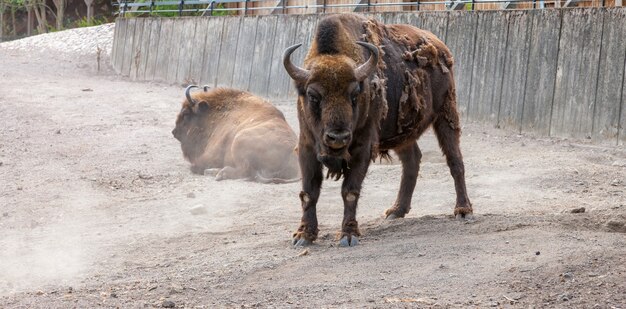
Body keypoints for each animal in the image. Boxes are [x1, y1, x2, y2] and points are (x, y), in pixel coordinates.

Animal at [282, 13, 468, 247]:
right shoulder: (307, 146)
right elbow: (309, 192)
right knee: (412, 160)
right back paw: (396, 211)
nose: (338, 137)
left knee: (455, 161)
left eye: (355, 94)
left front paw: (348, 235)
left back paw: (463, 210)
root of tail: (441, 47)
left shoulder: (362, 148)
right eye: (313, 95)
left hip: (446, 114)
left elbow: (350, 191)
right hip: (404, 133)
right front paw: (304, 236)